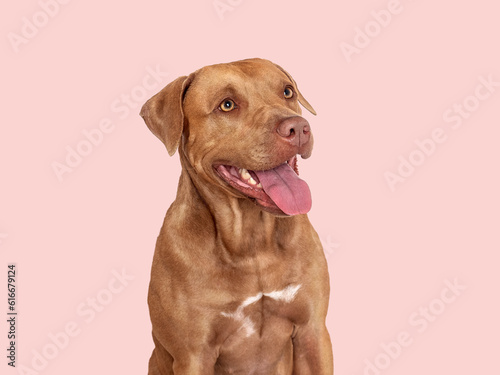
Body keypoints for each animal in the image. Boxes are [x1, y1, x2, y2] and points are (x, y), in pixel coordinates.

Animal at [141, 58, 334, 375]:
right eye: (227, 105)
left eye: (287, 91)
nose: (297, 128)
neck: (252, 241)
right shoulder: (194, 355)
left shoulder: (313, 332)